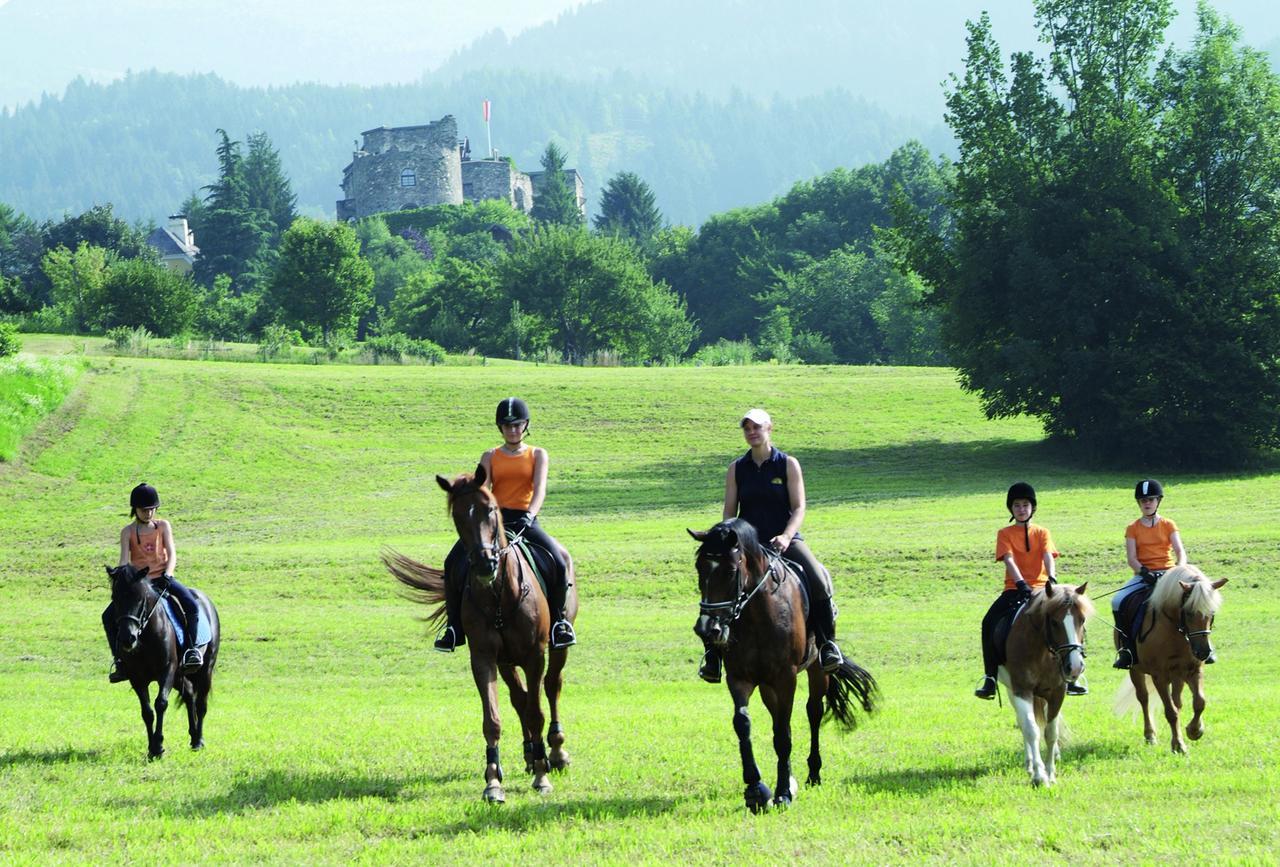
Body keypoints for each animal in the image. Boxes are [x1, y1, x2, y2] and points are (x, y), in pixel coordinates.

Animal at [104, 560, 220, 758]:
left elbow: (161, 704)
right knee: (189, 694)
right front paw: (152, 748)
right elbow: (147, 712)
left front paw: (158, 746)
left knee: (201, 704)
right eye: (115, 597)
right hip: (180, 675)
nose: (128, 638)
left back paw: (199, 741)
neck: (146, 635)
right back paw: (193, 736)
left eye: (140, 598)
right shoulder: (137, 678)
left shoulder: (167, 671)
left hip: (205, 670)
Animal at [381, 471, 578, 799]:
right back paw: (529, 753)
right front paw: (493, 781)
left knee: (552, 687)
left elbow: (536, 711)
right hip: (506, 661)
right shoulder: (484, 658)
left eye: (490, 510)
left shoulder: (534, 656)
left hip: (557, 645)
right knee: (519, 698)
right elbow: (493, 719)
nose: (486, 563)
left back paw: (556, 753)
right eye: (458, 515)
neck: (500, 595)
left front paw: (542, 774)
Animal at [691, 519, 880, 809]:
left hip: (817, 671)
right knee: (776, 715)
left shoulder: (785, 678)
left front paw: (781, 793)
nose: (706, 629)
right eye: (699, 568)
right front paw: (755, 789)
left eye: (731, 571)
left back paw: (813, 774)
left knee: (813, 712)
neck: (756, 613)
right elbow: (743, 725)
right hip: (767, 684)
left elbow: (783, 734)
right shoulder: (740, 678)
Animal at [993, 578, 1095, 788]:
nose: (1075, 667)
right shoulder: (1022, 690)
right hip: (1012, 691)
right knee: (1023, 723)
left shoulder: (1057, 692)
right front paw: (1039, 776)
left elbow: (1051, 732)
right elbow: (1031, 730)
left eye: (1082, 620)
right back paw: (1030, 764)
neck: (1042, 650)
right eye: (1055, 622)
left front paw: (1051, 773)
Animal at [1111, 563, 1228, 753]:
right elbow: (1170, 712)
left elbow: (1199, 702)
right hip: (1136, 670)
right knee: (1144, 698)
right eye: (1189, 612)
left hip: (1178, 675)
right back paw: (1150, 735)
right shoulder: (1160, 676)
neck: (1176, 628)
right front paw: (1179, 745)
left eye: (1212, 613)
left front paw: (1194, 731)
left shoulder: (1194, 670)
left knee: (1177, 701)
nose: (1203, 652)